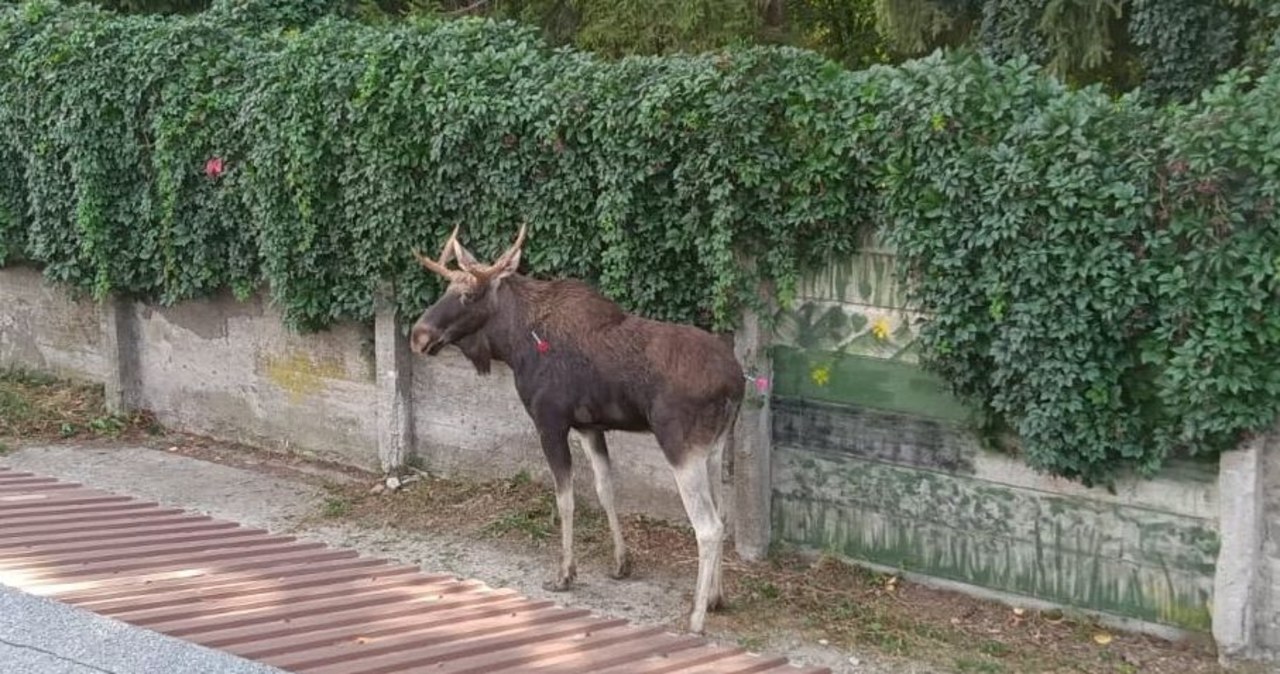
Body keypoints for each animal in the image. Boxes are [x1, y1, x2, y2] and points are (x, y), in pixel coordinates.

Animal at [409, 223, 747, 636]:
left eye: (469, 294)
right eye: (445, 290)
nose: (419, 335)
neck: (515, 344)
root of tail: (737, 383)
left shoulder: (550, 421)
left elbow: (565, 498)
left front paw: (565, 574)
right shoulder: (590, 426)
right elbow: (605, 489)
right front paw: (621, 562)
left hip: (680, 446)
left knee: (709, 526)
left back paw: (696, 617)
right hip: (713, 448)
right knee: (723, 517)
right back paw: (716, 598)